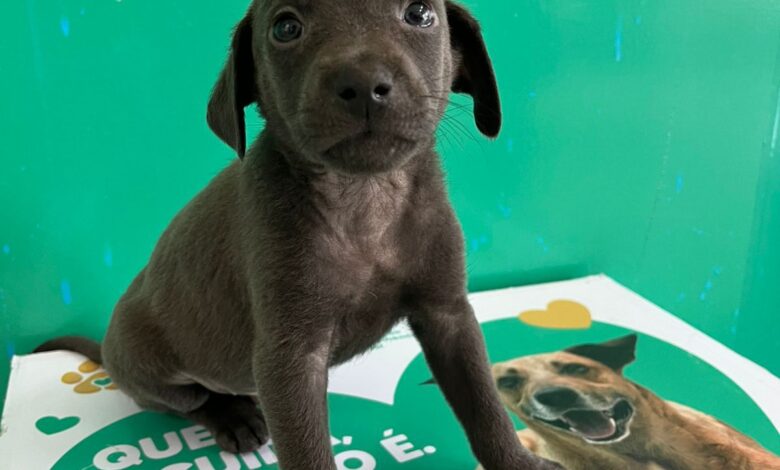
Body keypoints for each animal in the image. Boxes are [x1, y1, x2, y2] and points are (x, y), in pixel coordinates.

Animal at [35, 1, 561, 469]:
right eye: (286, 28)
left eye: (419, 14)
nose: (362, 84)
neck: (364, 199)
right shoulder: (290, 359)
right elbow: (307, 451)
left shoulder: (448, 315)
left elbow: (485, 408)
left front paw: (518, 463)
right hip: (153, 368)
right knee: (188, 400)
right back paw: (233, 416)